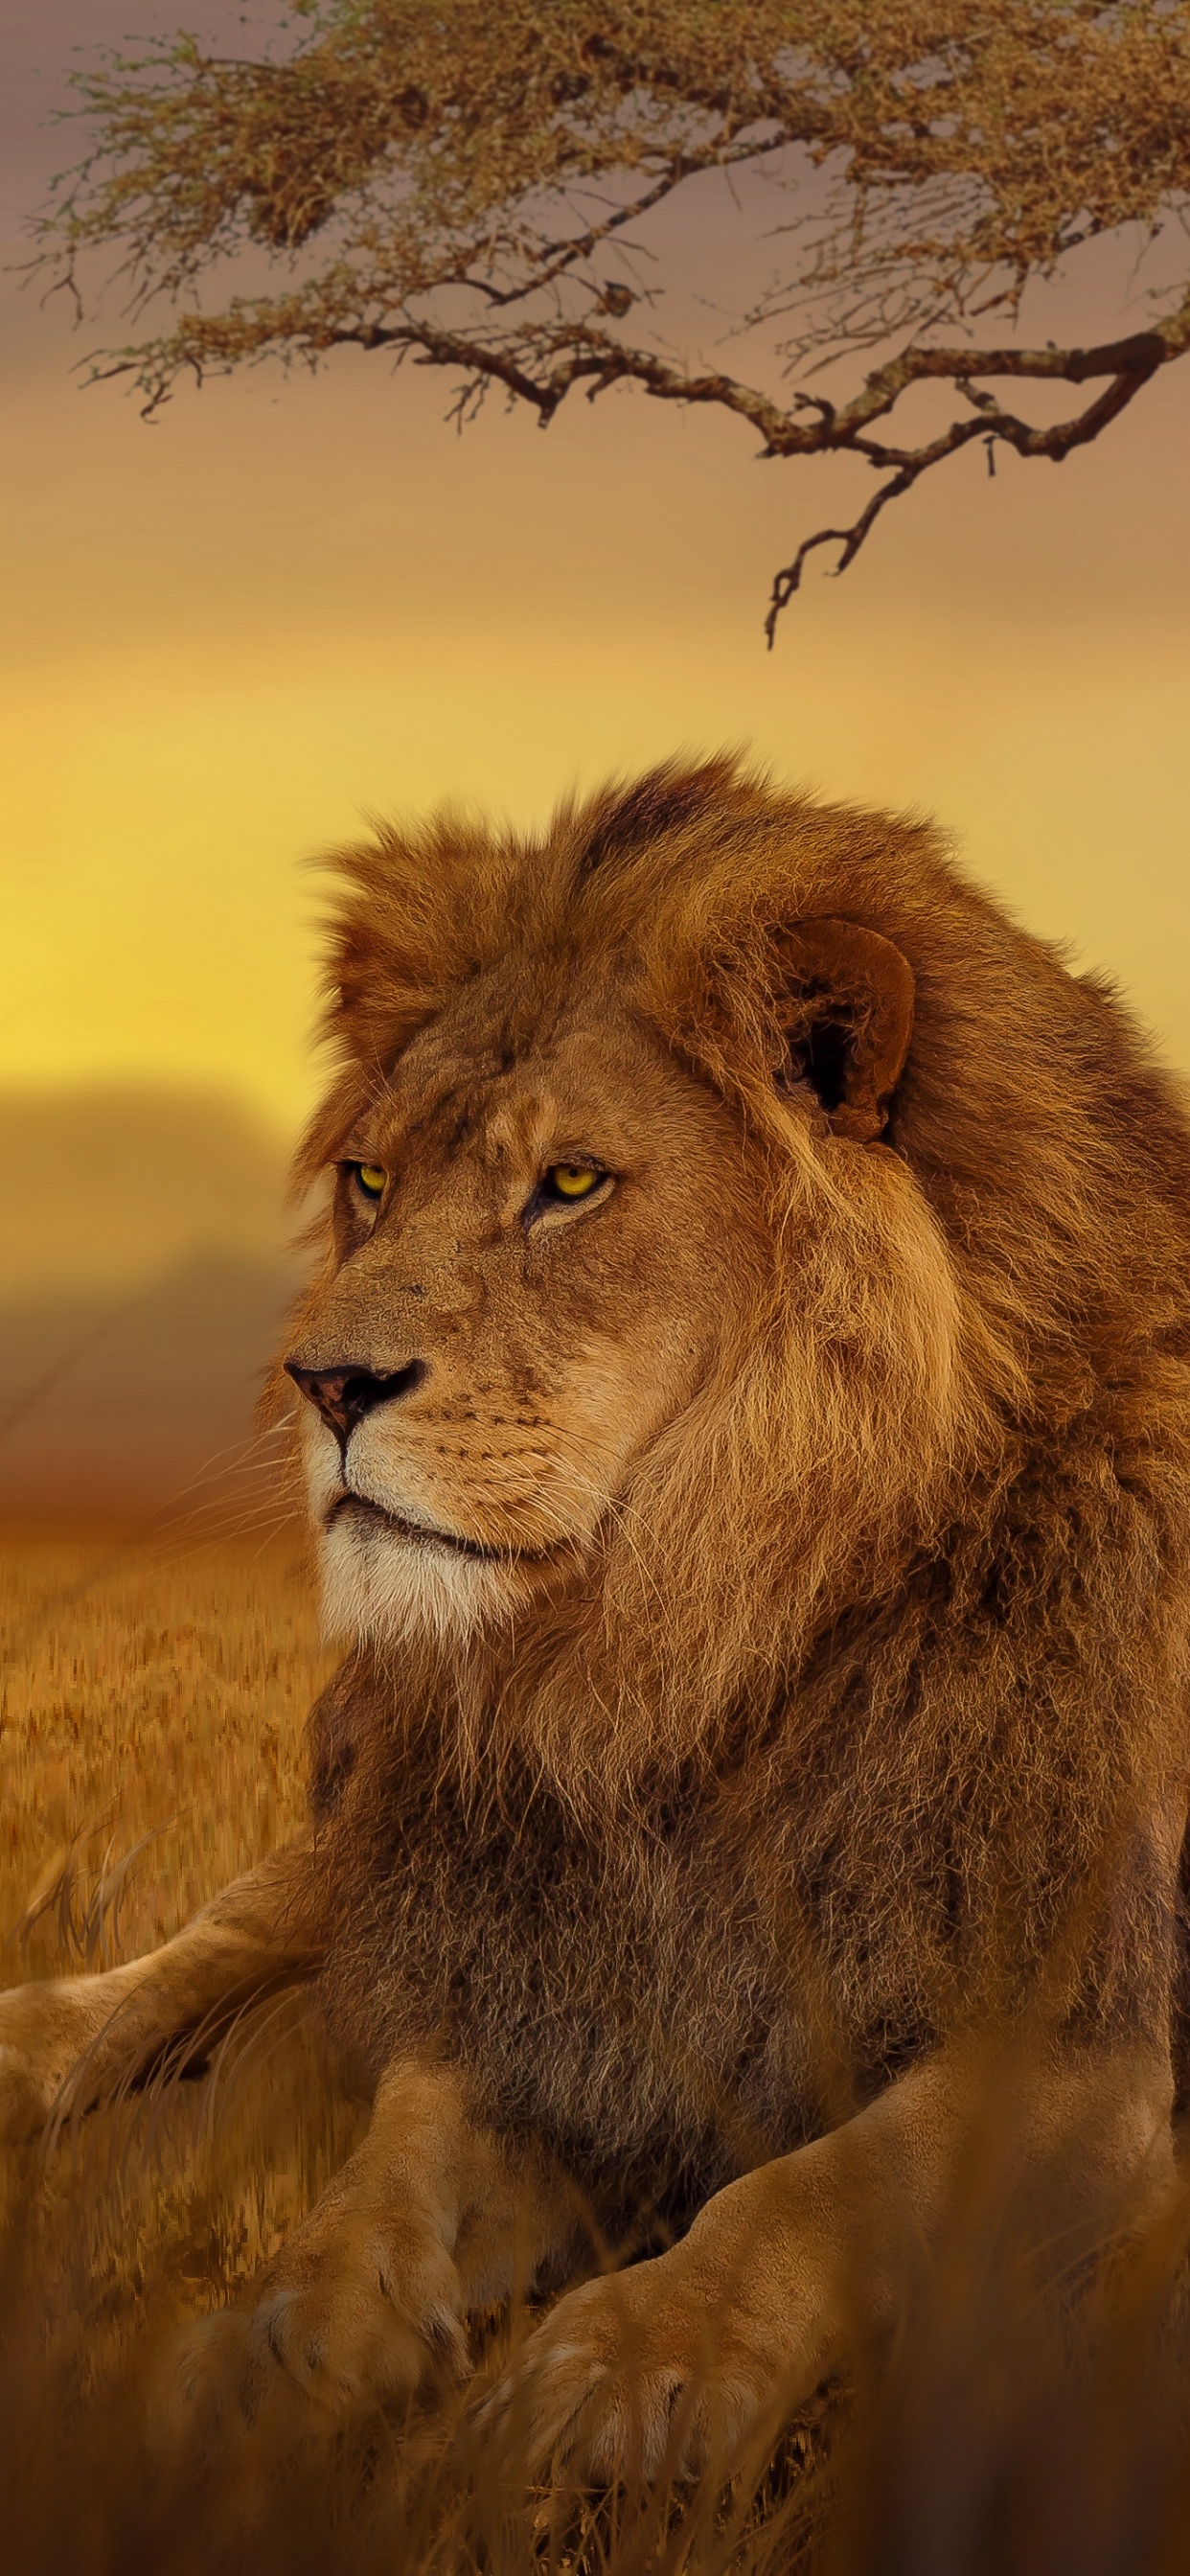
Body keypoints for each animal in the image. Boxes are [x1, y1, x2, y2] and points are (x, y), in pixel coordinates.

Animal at [2, 752, 1189, 2484]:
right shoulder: (525, 1958)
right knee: (207, 1949)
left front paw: (629, 2365)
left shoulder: (1091, 2027)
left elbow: (820, 2183)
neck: (690, 1655)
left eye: (567, 1184)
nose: (323, 1384)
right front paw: (276, 2337)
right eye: (371, 1181)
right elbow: (396, 2153)